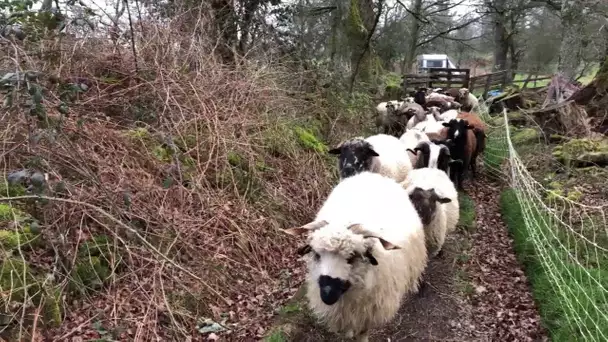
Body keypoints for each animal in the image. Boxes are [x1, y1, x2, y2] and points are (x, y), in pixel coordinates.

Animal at [284, 172, 428, 342]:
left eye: (352, 257)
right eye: (317, 255)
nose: (327, 295)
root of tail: (373, 175)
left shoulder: (369, 311)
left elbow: (362, 333)